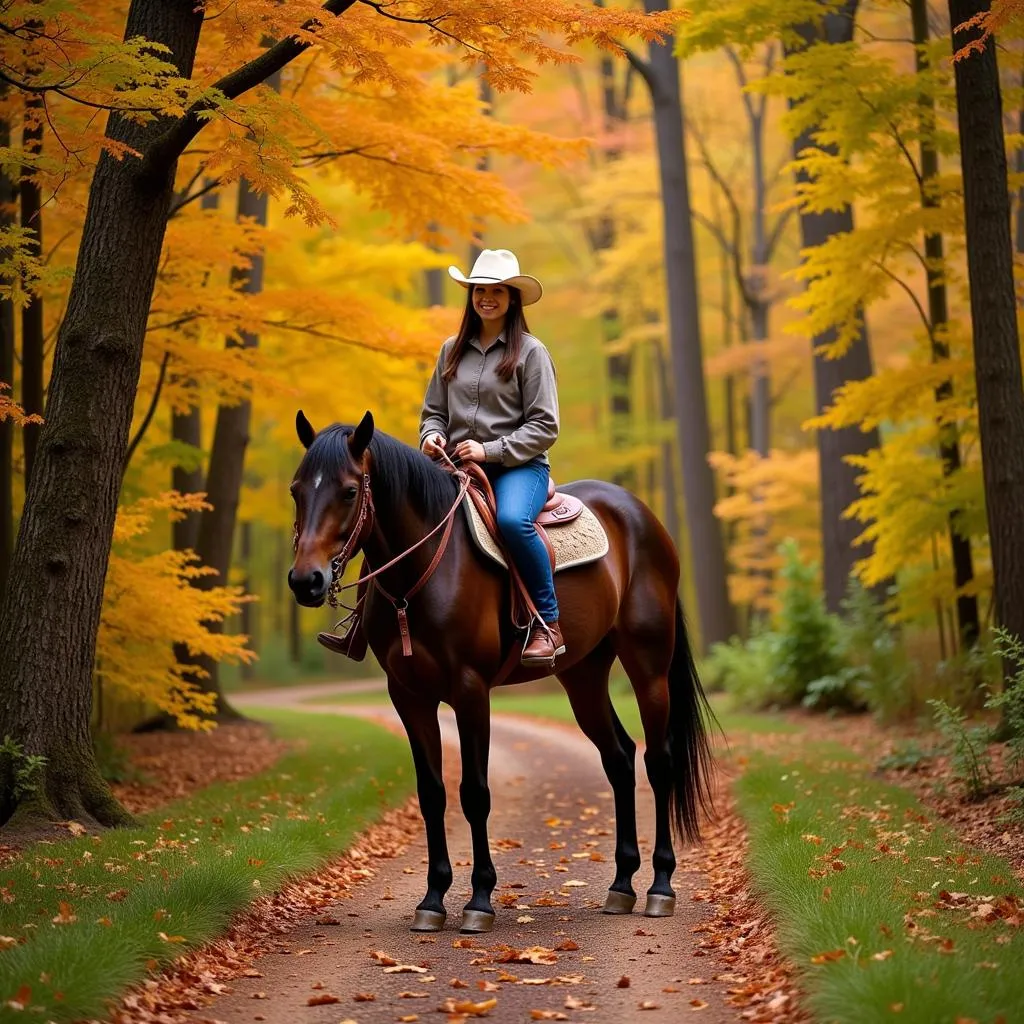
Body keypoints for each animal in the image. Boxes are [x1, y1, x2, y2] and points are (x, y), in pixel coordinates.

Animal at [286, 409, 712, 937]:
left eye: (348, 491)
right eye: (296, 490)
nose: (306, 581)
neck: (424, 569)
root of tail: (642, 516)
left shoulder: (471, 692)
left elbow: (475, 794)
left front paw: (480, 900)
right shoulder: (409, 697)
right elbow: (432, 794)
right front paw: (432, 899)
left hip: (648, 665)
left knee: (659, 761)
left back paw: (659, 887)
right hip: (583, 676)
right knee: (619, 758)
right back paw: (621, 886)